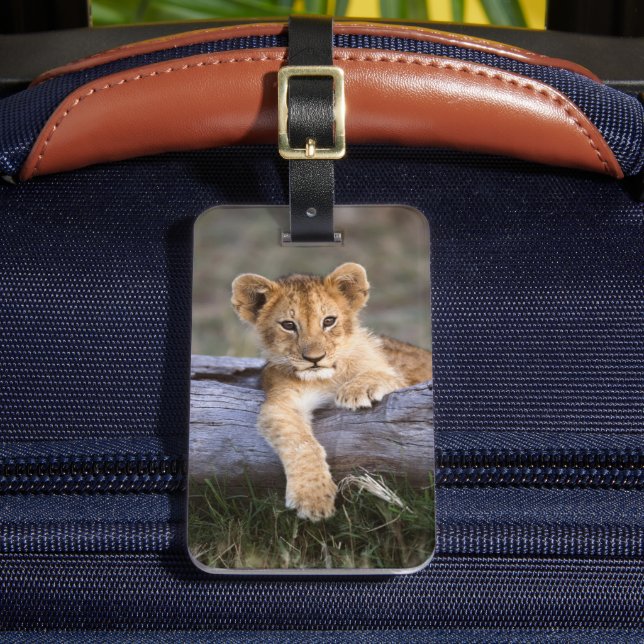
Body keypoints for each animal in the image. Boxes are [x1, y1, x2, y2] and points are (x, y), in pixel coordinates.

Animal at [231, 262, 432, 521]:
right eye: (288, 325)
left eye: (329, 321)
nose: (315, 358)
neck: (327, 377)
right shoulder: (281, 402)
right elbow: (301, 443)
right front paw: (313, 498)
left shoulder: (401, 379)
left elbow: (383, 374)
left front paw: (357, 389)